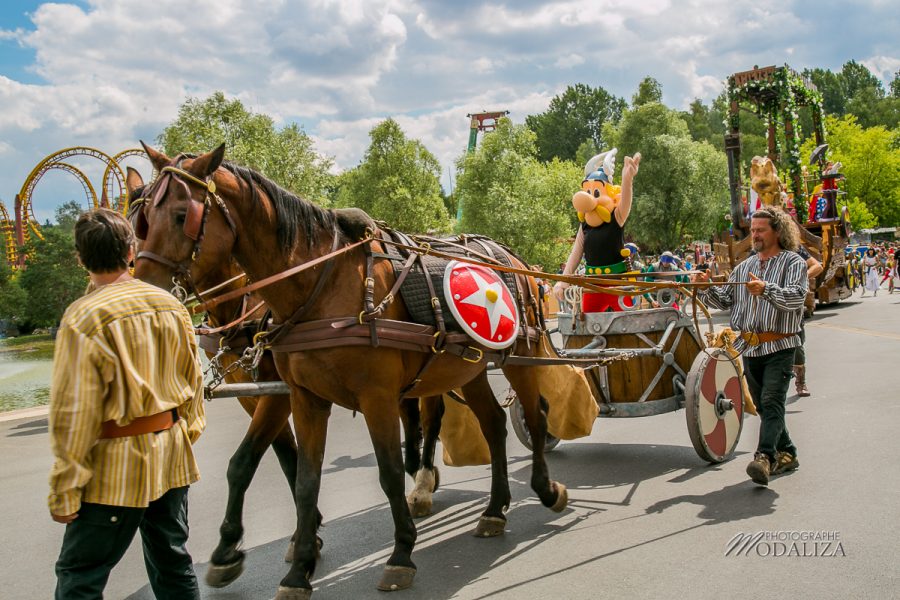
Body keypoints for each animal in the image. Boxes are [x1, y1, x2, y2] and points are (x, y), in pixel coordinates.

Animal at [133, 143, 564, 596]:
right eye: (142, 219)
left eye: (182, 214)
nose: (143, 290)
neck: (323, 286)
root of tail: (510, 256)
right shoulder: (302, 398)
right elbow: (296, 476)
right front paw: (295, 565)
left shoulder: (372, 398)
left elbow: (388, 473)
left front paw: (400, 553)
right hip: (469, 367)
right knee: (493, 423)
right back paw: (494, 508)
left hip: (520, 356)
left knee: (534, 418)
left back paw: (542, 488)